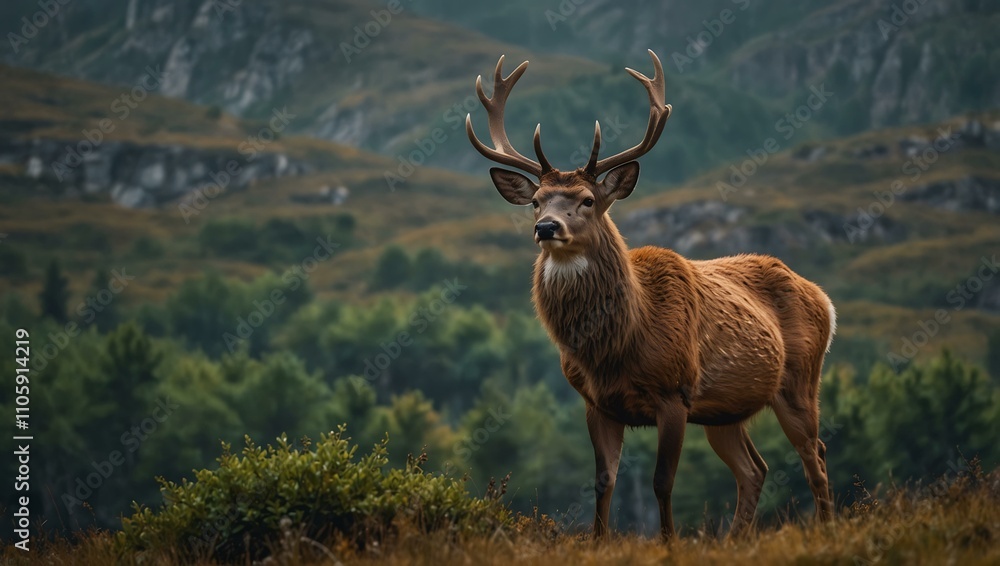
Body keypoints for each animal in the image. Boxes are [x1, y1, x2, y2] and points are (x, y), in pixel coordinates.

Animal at [465, 50, 836, 540]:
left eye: (586, 200)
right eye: (536, 201)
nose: (546, 227)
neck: (617, 346)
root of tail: (823, 298)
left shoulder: (674, 392)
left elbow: (663, 481)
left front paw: (669, 542)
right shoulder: (596, 402)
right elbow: (603, 480)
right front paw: (599, 541)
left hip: (799, 379)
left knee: (816, 456)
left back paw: (828, 528)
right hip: (724, 410)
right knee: (755, 469)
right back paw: (733, 538)